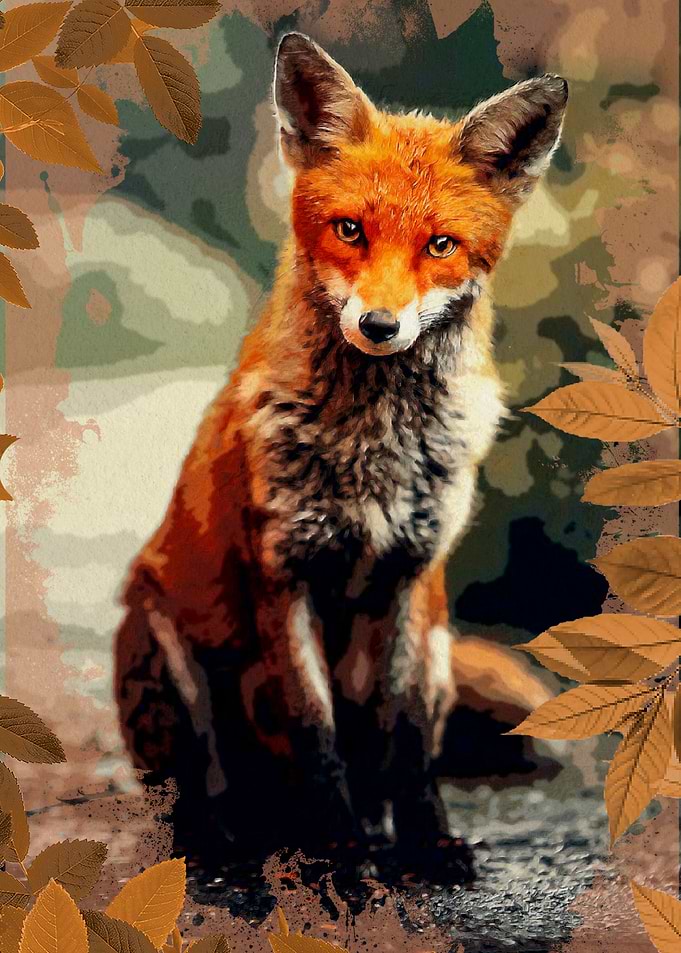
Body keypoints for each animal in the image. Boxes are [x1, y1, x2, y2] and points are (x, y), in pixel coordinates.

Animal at [114, 33, 568, 873]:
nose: (380, 326)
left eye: (439, 245)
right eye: (351, 230)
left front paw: (425, 841)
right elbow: (316, 733)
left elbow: (408, 738)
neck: (374, 447)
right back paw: (228, 841)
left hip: (441, 643)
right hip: (165, 648)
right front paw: (341, 852)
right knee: (200, 784)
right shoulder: (281, 573)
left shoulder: (415, 575)